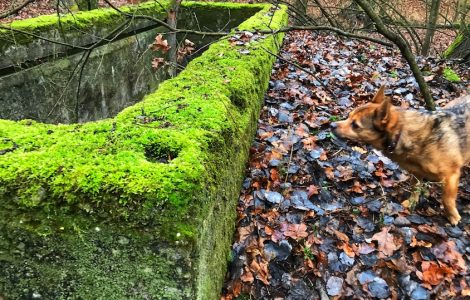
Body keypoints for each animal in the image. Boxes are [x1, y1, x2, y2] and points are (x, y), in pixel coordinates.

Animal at [332, 85, 468, 224]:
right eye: (348, 116)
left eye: (355, 125)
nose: (331, 125)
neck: (400, 133)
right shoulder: (416, 172)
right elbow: (415, 188)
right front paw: (412, 202)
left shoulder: (451, 176)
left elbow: (447, 199)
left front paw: (452, 216)